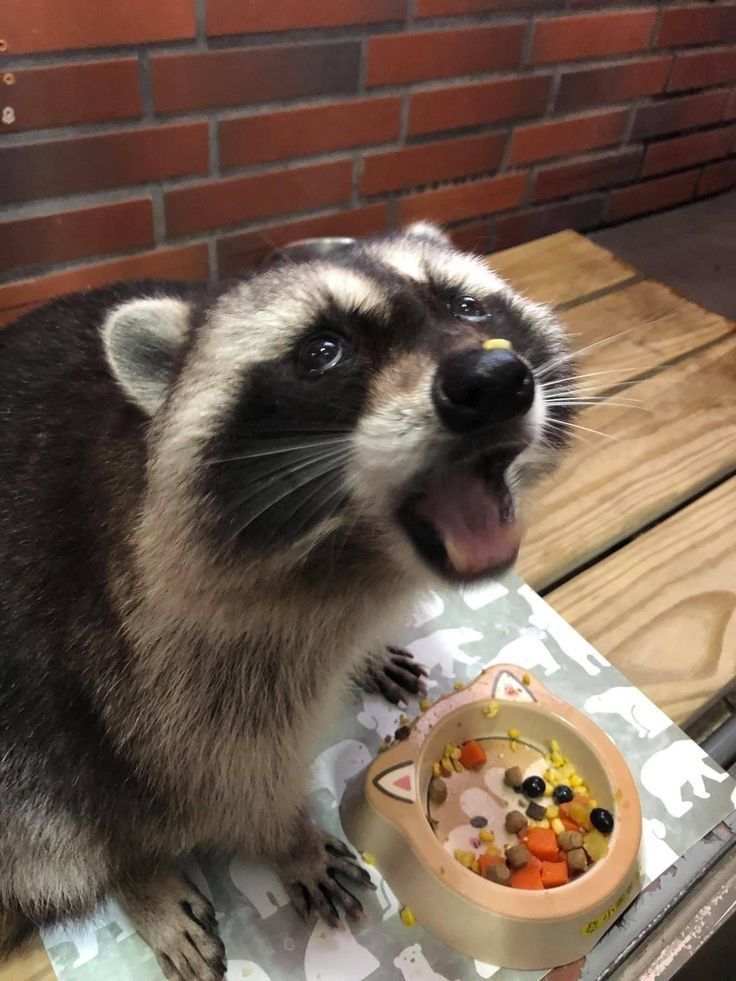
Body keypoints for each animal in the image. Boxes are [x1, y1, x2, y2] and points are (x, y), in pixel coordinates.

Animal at [0, 223, 576, 978]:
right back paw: (134, 870)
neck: (349, 560)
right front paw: (285, 837)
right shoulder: (148, 630)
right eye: (323, 351)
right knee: (57, 816)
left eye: (468, 306)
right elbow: (219, 764)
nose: (492, 382)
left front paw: (364, 654)